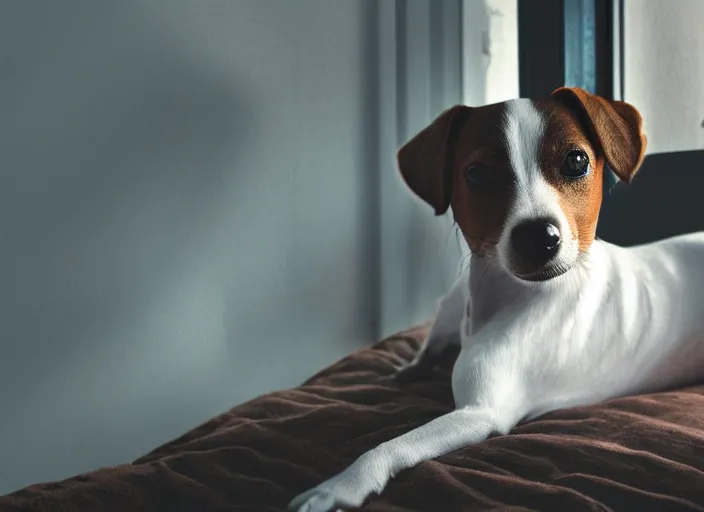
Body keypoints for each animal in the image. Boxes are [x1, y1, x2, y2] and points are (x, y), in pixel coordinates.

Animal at [286, 86, 704, 510]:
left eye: (576, 161)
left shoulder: (479, 413)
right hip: (448, 307)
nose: (539, 237)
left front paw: (339, 485)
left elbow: (390, 446)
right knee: (430, 346)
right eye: (477, 174)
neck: (509, 298)